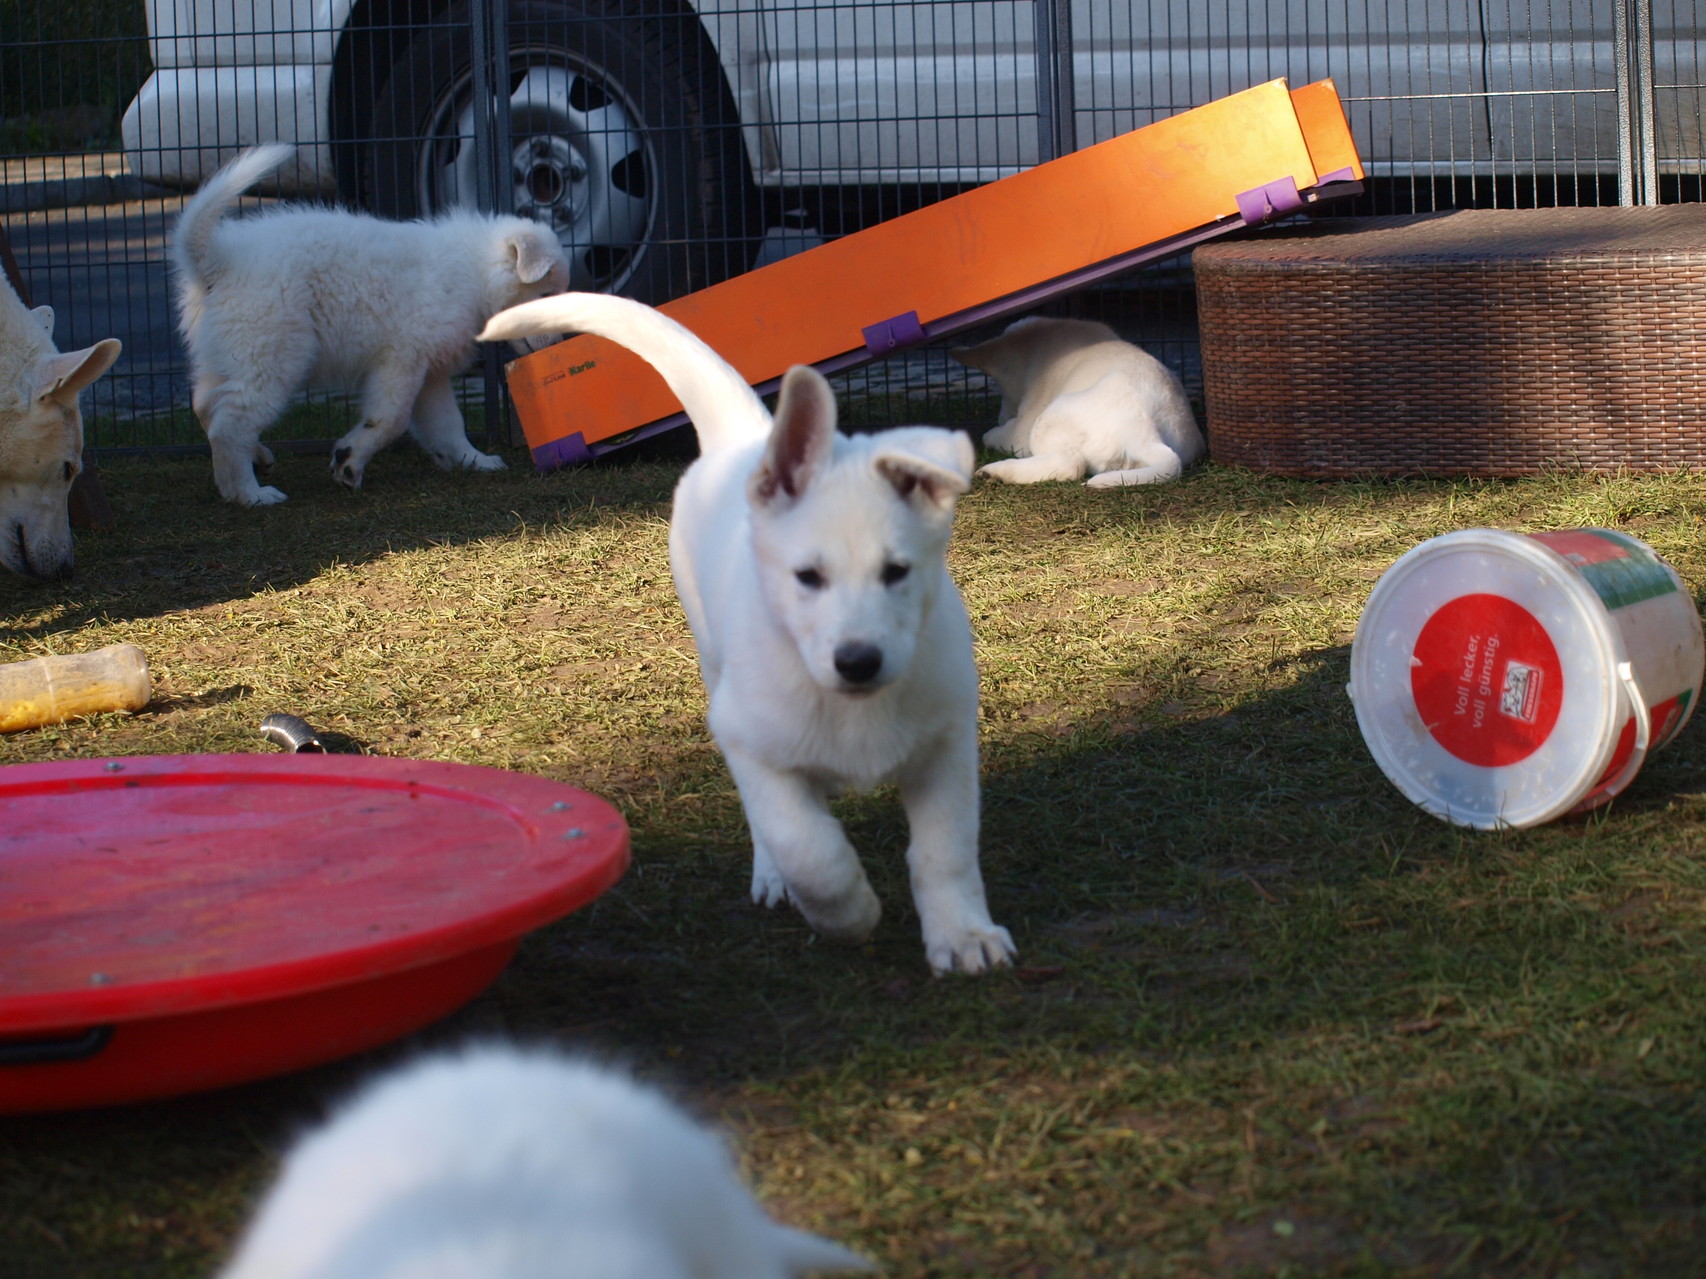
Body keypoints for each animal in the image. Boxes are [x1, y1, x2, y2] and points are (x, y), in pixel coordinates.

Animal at [174, 147, 573, 508]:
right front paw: (350, 461)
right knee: (229, 424)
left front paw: (473, 459)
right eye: (547, 295)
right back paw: (248, 493)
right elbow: (390, 420)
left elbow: (448, 424)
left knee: (205, 406)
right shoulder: (401, 359)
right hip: (272, 355)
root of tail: (220, 260)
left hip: (229, 353)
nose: (562, 341)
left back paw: (256, 458)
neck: (473, 272)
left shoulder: (430, 373)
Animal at [477, 293, 1009, 968]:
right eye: (807, 576)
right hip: (713, 659)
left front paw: (963, 934)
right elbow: (807, 846)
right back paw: (776, 878)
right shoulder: (748, 742)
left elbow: (946, 851)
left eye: (897, 572)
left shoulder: (946, 743)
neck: (848, 704)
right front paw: (848, 914)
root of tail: (751, 440)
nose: (858, 661)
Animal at [955, 313, 1207, 484]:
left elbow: (1001, 434)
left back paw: (997, 471)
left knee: (1070, 465)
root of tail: (1145, 433)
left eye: (998, 385)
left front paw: (992, 433)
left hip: (1048, 419)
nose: (1001, 417)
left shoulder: (1022, 428)